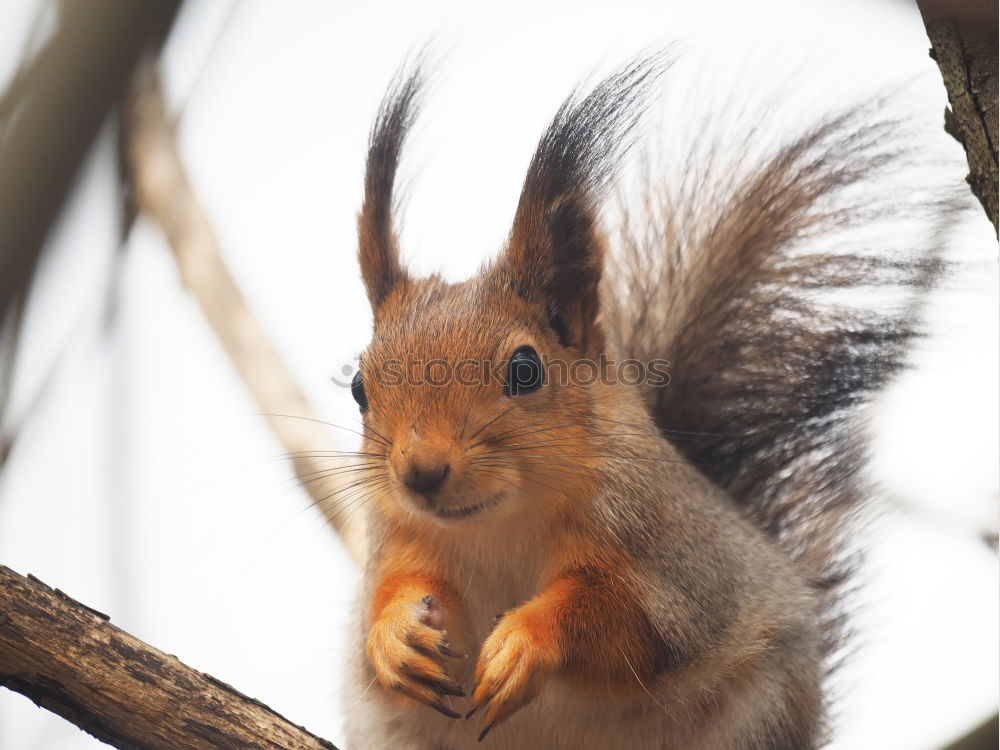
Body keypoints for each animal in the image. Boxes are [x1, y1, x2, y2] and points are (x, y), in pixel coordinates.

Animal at [338, 54, 944, 750]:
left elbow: (625, 627)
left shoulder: (674, 565)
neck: (500, 525)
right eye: (359, 387)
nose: (420, 472)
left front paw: (526, 641)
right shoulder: (401, 539)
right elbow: (390, 600)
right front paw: (394, 637)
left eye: (525, 369)